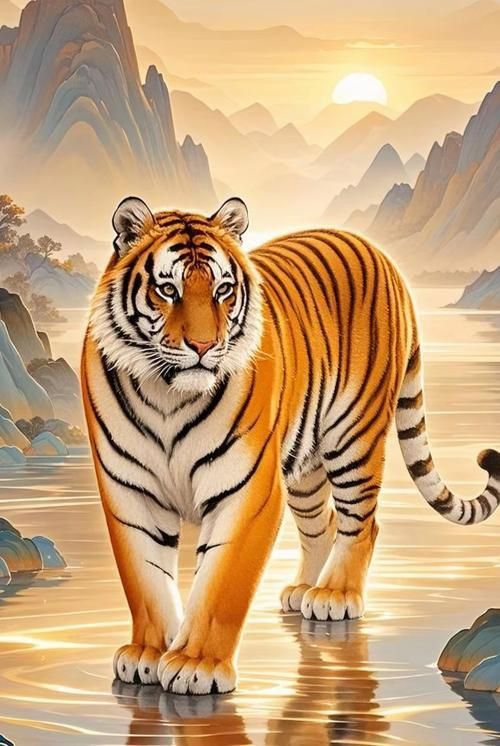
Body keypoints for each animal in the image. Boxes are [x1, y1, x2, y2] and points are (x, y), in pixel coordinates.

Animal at [82, 196, 500, 696]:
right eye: (167, 290)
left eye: (222, 290)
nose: (203, 346)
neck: (167, 396)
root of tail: (380, 254)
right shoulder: (130, 492)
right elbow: (145, 580)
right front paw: (146, 654)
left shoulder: (247, 491)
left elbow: (221, 585)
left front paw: (196, 664)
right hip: (304, 467)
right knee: (324, 523)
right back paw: (304, 590)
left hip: (353, 438)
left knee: (362, 522)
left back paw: (335, 594)